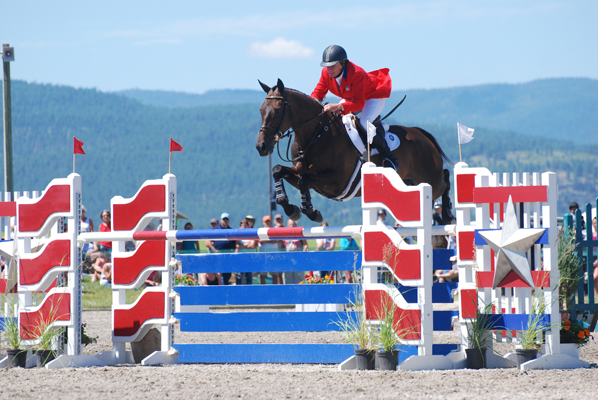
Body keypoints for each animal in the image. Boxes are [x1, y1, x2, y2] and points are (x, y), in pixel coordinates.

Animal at [256, 79, 453, 224]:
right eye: (261, 110)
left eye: (278, 110)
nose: (261, 146)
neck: (316, 134)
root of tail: (421, 134)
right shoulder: (300, 172)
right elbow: (279, 171)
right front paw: (295, 209)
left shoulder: (337, 182)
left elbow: (304, 180)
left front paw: (309, 211)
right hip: (408, 184)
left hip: (430, 180)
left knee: (444, 179)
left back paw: (447, 214)